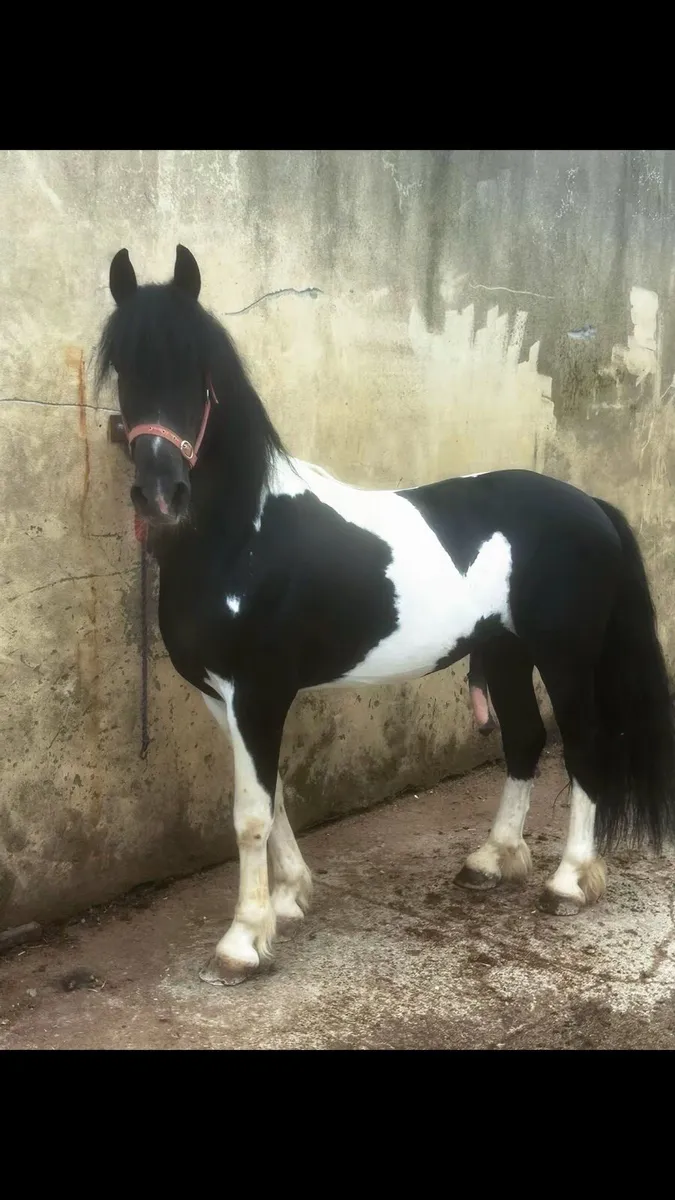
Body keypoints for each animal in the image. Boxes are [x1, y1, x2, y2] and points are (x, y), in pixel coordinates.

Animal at [96, 244, 675, 986]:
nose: (160, 493)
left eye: (200, 373)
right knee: (523, 740)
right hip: (506, 652)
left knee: (583, 748)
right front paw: (290, 898)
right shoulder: (219, 697)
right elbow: (274, 796)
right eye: (125, 367)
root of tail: (590, 505)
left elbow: (250, 814)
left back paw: (569, 881)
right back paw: (492, 860)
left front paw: (244, 939)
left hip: (564, 657)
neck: (245, 536)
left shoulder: (256, 693)